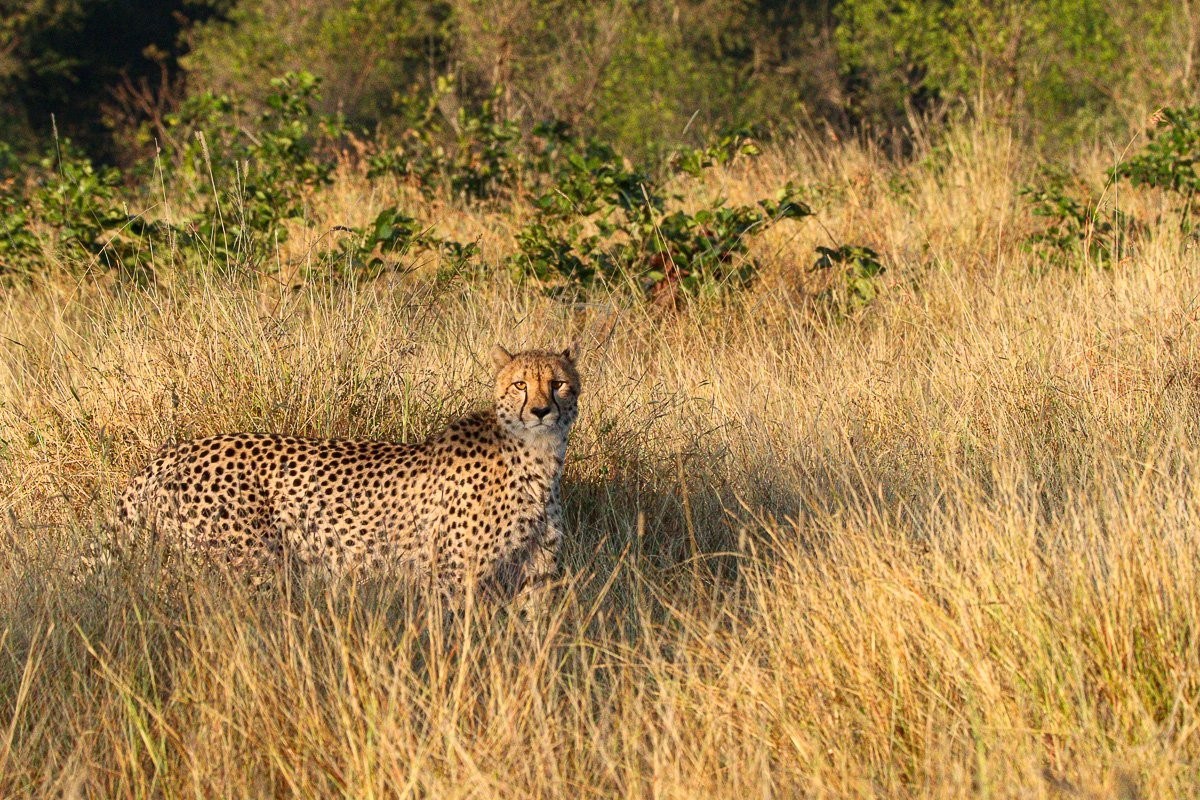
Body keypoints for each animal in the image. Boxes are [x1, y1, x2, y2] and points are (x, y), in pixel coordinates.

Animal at [113, 346, 581, 602]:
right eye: (520, 384)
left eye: (558, 383)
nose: (542, 411)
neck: (537, 458)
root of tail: (171, 452)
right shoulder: (452, 575)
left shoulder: (538, 573)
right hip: (248, 565)